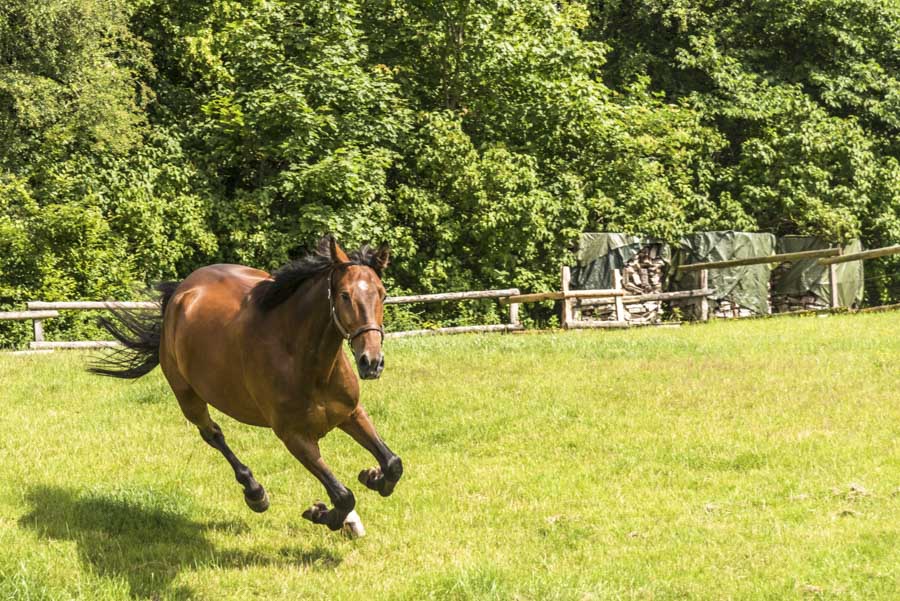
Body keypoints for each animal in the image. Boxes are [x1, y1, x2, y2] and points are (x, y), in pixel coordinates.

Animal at [90, 235, 403, 536]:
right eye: (344, 295)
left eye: (382, 294)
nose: (371, 362)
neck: (307, 363)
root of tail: (181, 290)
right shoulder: (294, 437)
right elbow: (342, 495)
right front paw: (322, 514)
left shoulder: (351, 413)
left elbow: (392, 464)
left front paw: (372, 477)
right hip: (187, 396)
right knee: (213, 434)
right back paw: (255, 494)